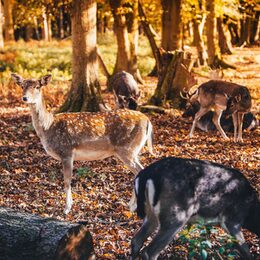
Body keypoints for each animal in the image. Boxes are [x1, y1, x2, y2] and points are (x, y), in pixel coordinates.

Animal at [12, 72, 153, 213]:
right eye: (22, 86)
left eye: (37, 86)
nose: (25, 98)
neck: (48, 126)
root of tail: (147, 120)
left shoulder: (66, 151)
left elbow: (67, 181)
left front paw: (67, 208)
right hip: (134, 150)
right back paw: (132, 205)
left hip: (127, 149)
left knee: (139, 170)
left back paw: (133, 206)